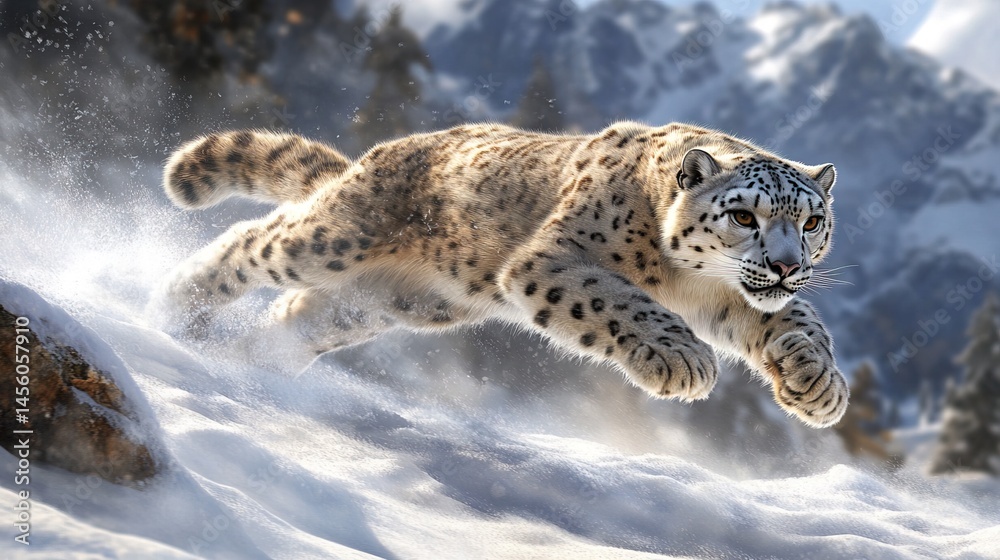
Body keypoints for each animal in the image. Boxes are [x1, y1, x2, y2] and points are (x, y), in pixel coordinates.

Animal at [151, 122, 849, 428]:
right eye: (743, 214)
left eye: (812, 221)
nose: (785, 265)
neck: (688, 283)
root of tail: (377, 154)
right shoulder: (551, 260)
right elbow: (621, 300)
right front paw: (681, 360)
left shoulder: (732, 300)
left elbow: (802, 318)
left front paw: (817, 384)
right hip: (333, 239)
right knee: (253, 241)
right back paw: (173, 309)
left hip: (380, 306)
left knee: (294, 319)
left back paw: (247, 363)